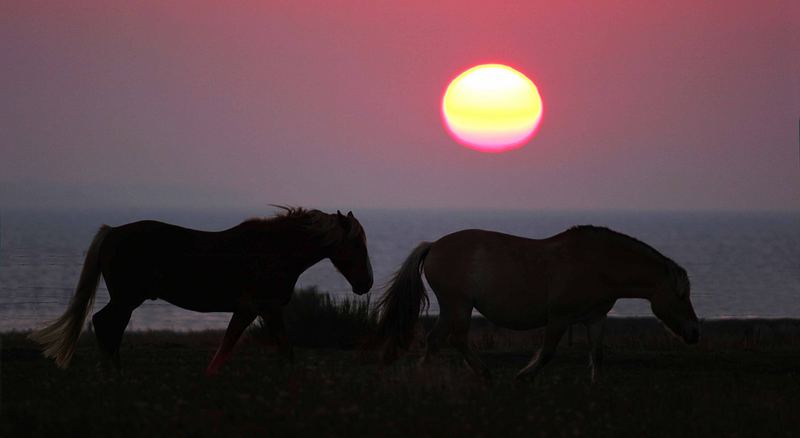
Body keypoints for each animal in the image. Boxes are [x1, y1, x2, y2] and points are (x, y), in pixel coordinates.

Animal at [28, 207, 372, 374]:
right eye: (356, 243)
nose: (365, 283)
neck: (273, 249)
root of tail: (112, 232)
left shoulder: (247, 310)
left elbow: (225, 348)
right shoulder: (268, 308)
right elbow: (286, 351)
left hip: (126, 300)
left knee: (108, 327)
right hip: (127, 299)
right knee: (105, 324)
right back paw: (114, 375)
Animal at [378, 228, 696, 382]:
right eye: (682, 295)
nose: (694, 332)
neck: (597, 263)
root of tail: (433, 245)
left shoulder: (595, 318)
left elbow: (598, 353)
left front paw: (596, 385)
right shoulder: (559, 318)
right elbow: (546, 352)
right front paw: (523, 376)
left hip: (451, 307)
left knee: (435, 340)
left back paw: (425, 374)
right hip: (459, 305)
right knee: (456, 339)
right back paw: (483, 374)